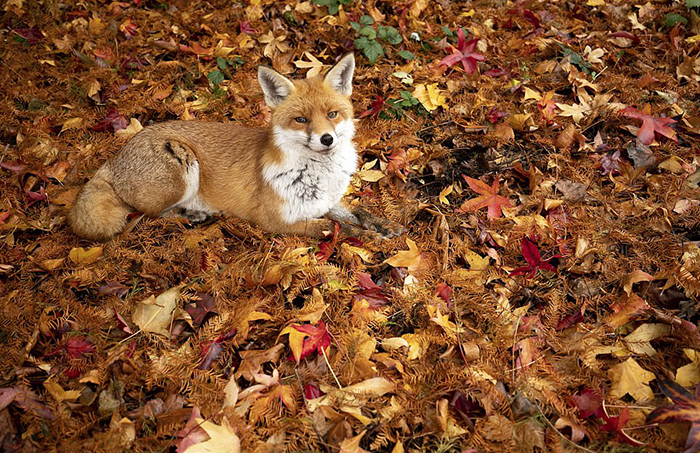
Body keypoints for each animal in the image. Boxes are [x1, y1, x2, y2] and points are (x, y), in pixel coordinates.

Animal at [70, 53, 402, 242]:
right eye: (301, 119)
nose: (327, 139)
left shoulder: (322, 201)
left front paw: (384, 225)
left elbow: (357, 211)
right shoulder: (276, 220)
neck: (318, 176)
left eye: (332, 114)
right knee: (146, 214)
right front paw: (367, 236)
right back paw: (190, 216)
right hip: (181, 167)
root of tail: (115, 158)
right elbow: (335, 228)